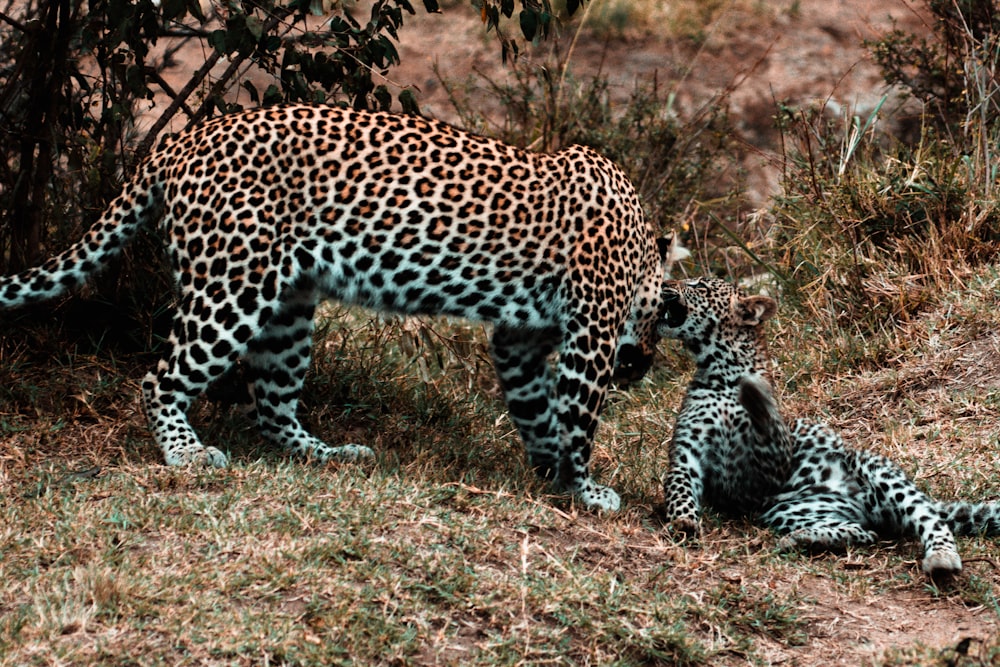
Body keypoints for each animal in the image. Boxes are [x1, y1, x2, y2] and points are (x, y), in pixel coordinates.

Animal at [0, 104, 688, 512]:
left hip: (287, 305)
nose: (642, 369)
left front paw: (552, 473)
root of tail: (177, 143)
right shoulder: (591, 340)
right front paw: (586, 489)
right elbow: (578, 419)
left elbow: (538, 411)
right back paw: (188, 456)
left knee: (272, 405)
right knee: (161, 377)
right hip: (232, 286)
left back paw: (327, 455)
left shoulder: (519, 343)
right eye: (665, 320)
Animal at [660, 280, 996, 576]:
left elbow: (769, 427)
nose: (664, 283)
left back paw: (941, 557)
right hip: (788, 510)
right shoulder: (688, 456)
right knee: (864, 532)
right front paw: (684, 522)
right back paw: (803, 539)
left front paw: (756, 394)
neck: (721, 372)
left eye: (699, 285)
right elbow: (679, 488)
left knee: (930, 520)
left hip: (872, 467)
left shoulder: (769, 467)